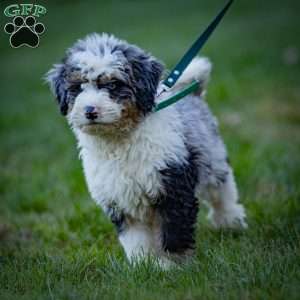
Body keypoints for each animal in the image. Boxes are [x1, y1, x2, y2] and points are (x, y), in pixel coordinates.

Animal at [44, 32, 246, 268]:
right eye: (77, 88)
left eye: (113, 85)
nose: (90, 110)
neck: (120, 141)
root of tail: (192, 93)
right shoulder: (120, 198)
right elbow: (135, 238)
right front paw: (144, 265)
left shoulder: (172, 184)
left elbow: (174, 231)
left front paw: (173, 265)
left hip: (212, 157)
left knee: (222, 190)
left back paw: (231, 222)